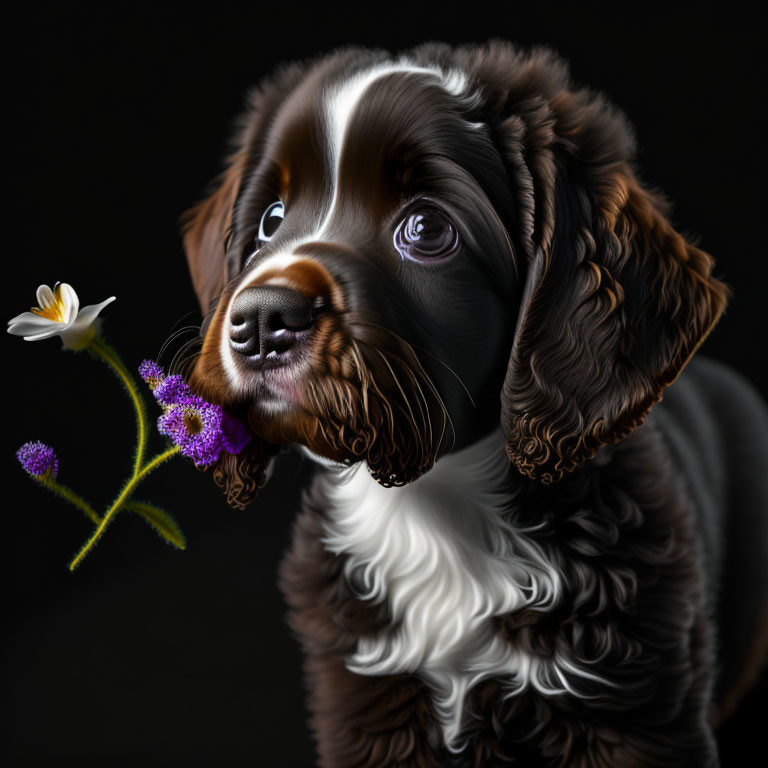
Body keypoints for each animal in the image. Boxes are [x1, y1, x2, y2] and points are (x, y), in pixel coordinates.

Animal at [178, 42, 768, 768]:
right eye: (270, 220)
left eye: (426, 228)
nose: (262, 319)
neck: (438, 512)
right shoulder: (367, 707)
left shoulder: (636, 708)